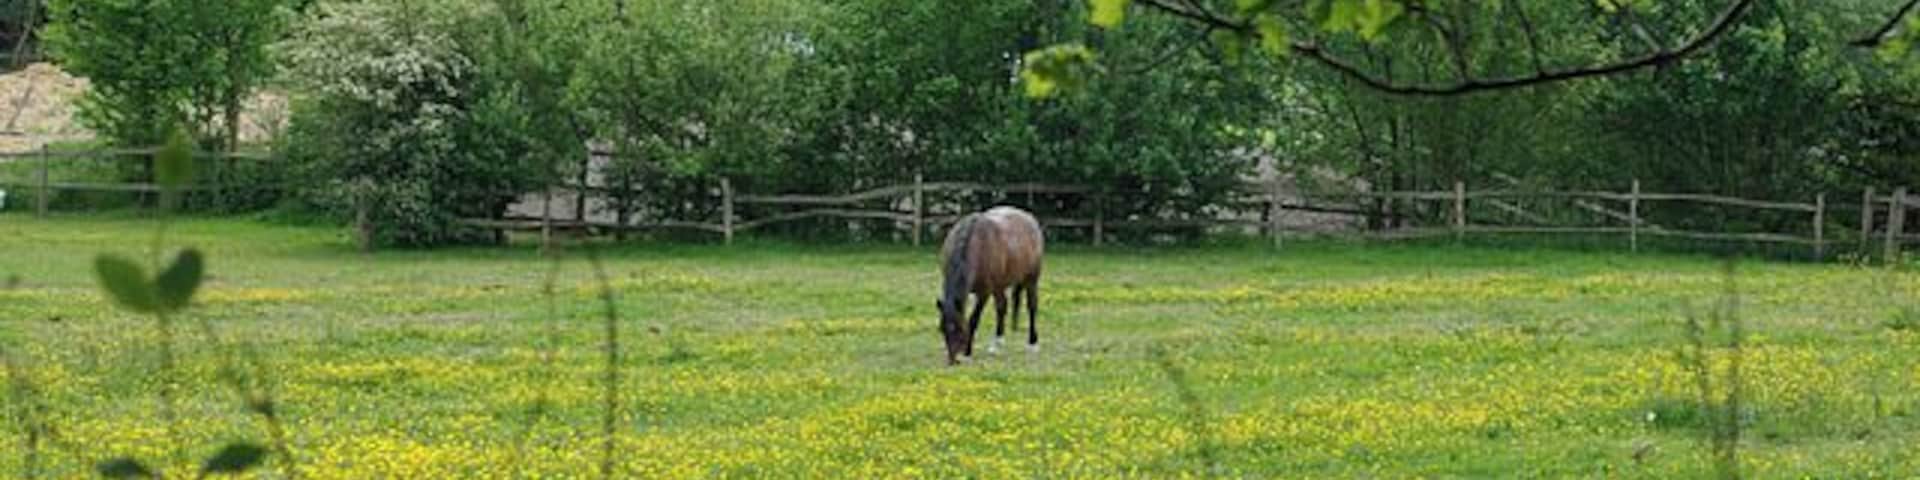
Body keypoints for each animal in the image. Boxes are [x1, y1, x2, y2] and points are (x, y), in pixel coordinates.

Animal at [936, 205, 1044, 365]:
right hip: (1000, 286)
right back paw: (997, 343)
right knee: (1002, 307)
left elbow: (973, 319)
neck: (976, 244)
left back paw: (1032, 343)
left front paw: (968, 353)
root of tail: (1029, 218)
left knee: (1032, 307)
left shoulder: (984, 292)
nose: (953, 360)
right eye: (942, 329)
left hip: (1031, 279)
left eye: (959, 329)